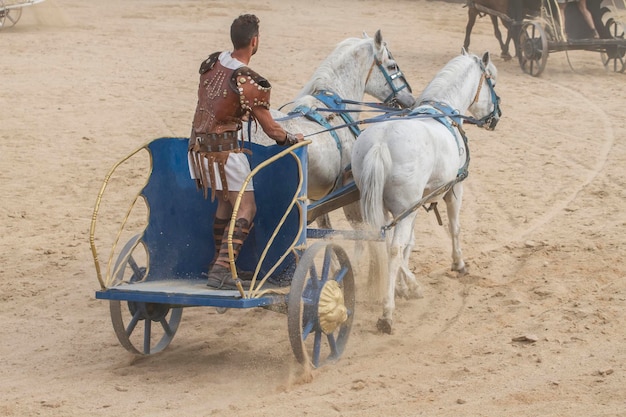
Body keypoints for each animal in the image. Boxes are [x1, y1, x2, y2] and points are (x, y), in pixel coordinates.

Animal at [354, 48, 500, 334]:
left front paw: (404, 284)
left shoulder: (415, 204)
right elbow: (454, 228)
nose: (496, 118)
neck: (442, 109)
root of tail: (380, 143)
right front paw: (459, 264)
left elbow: (410, 242)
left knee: (384, 243)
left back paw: (405, 288)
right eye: (493, 81)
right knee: (393, 249)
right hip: (404, 209)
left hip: (385, 208)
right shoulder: (454, 189)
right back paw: (388, 312)